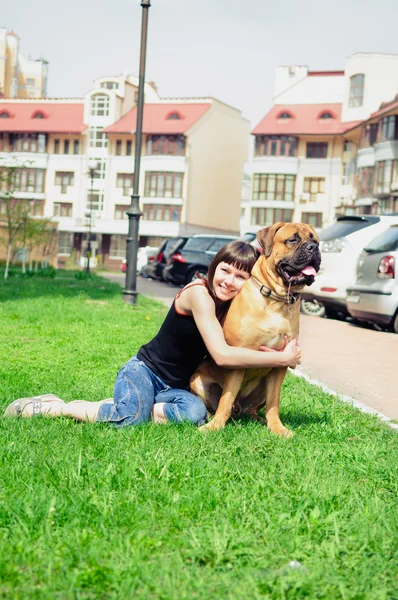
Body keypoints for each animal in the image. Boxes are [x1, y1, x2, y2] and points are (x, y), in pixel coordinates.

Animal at [189, 223, 320, 438]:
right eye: (292, 239)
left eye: (315, 240)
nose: (313, 248)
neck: (276, 299)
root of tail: (240, 409)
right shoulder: (237, 359)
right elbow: (225, 399)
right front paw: (215, 426)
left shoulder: (280, 364)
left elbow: (274, 403)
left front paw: (277, 428)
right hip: (197, 380)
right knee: (218, 403)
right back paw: (210, 417)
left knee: (255, 408)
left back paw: (258, 419)